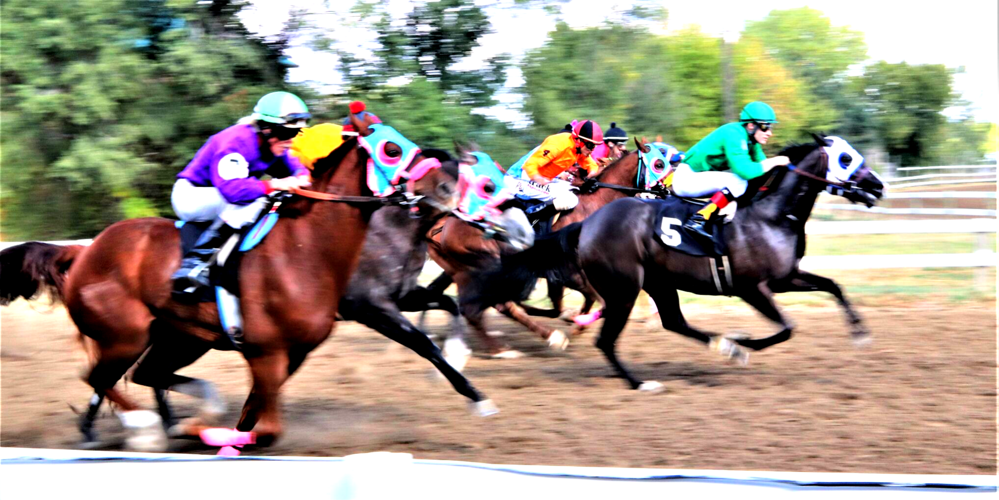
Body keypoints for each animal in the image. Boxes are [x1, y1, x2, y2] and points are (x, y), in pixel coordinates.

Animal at [0, 115, 498, 452]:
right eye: (391, 149)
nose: (446, 188)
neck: (306, 249)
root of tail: (84, 251)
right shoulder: (325, 324)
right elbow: (267, 426)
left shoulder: (300, 345)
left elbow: (254, 411)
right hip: (125, 333)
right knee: (101, 375)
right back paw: (142, 429)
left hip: (181, 336)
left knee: (142, 374)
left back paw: (164, 423)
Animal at [576, 135, 888, 392]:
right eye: (845, 158)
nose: (878, 186)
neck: (771, 216)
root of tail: (588, 224)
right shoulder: (751, 288)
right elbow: (787, 327)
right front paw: (744, 341)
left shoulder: (786, 278)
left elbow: (833, 286)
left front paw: (860, 332)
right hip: (624, 290)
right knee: (606, 340)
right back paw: (640, 382)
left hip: (658, 282)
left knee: (674, 321)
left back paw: (725, 347)